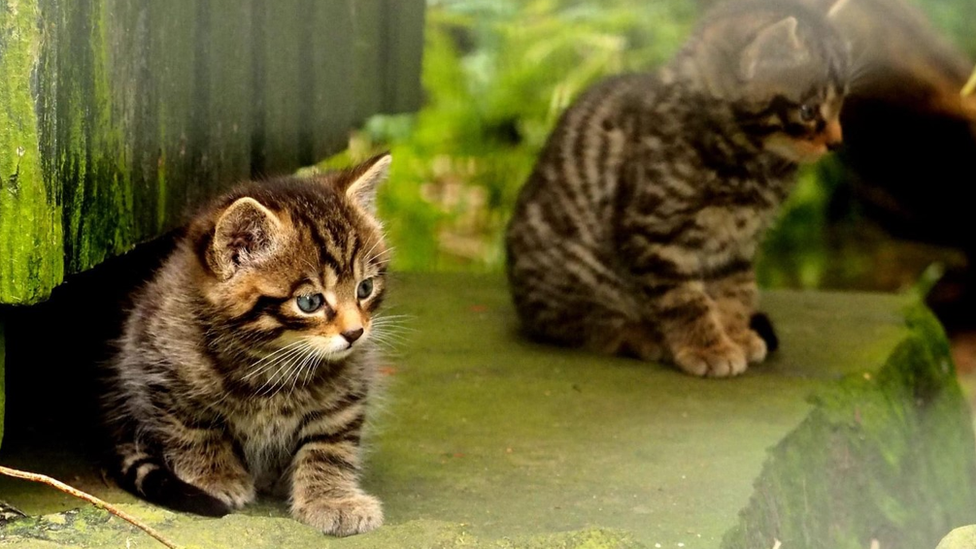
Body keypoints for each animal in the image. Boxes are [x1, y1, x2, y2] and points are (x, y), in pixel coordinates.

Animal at [106, 153, 392, 536]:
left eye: (365, 288)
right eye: (310, 302)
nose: (355, 333)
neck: (270, 358)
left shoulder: (346, 393)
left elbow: (329, 444)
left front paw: (332, 499)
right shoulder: (163, 374)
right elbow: (194, 430)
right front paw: (215, 476)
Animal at [508, 0, 852, 376]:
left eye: (841, 105)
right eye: (807, 111)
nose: (837, 143)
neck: (747, 162)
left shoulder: (737, 245)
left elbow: (737, 290)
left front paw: (736, 334)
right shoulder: (655, 234)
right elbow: (685, 300)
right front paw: (708, 348)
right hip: (576, 275)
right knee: (578, 324)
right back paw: (638, 334)